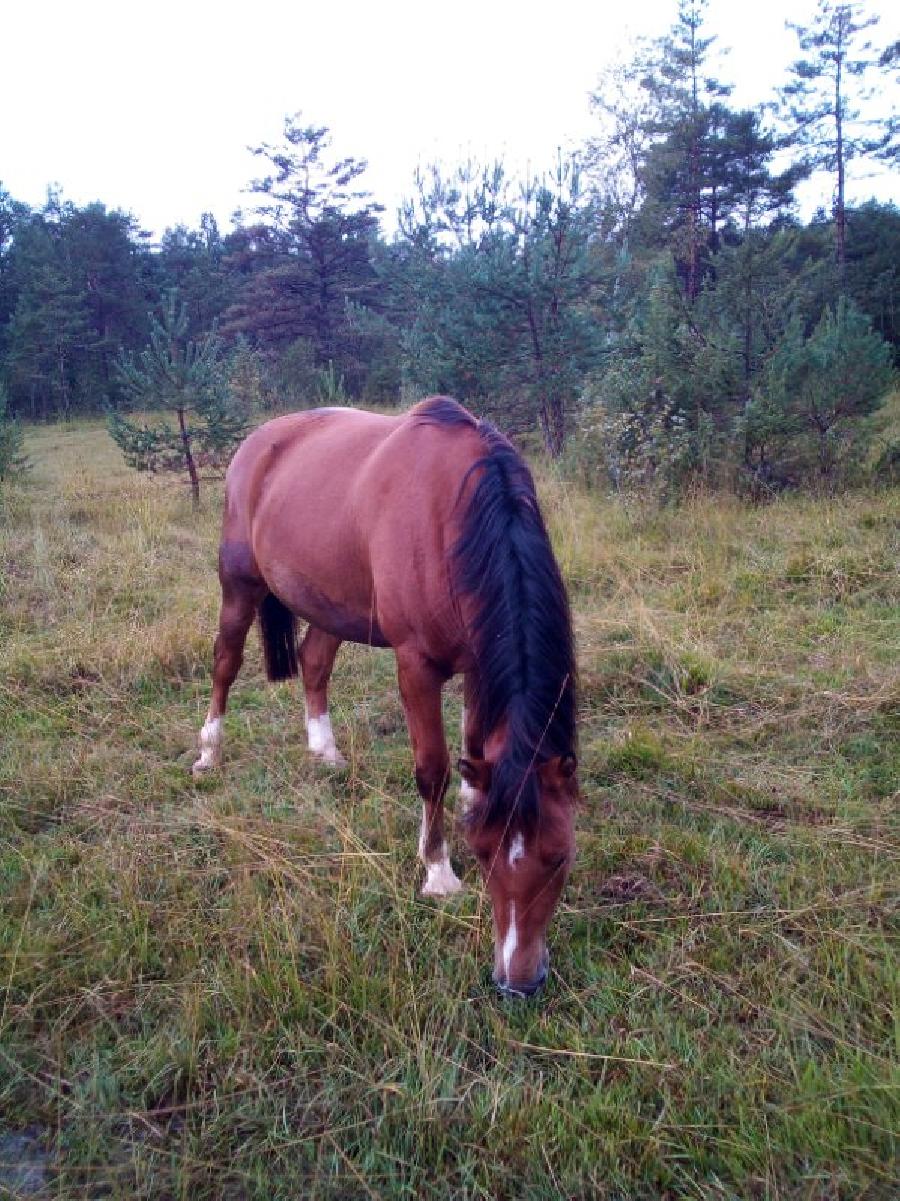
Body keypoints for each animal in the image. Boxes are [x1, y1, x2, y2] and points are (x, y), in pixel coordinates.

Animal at [193, 393, 579, 994]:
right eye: (483, 856)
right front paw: (437, 871)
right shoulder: (415, 665)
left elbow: (473, 751)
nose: (517, 981)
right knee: (225, 664)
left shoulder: (477, 663)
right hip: (239, 583)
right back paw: (209, 750)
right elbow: (432, 767)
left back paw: (324, 750)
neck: (454, 515)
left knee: (314, 662)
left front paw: (468, 803)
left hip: (329, 600)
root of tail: (258, 441)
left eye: (560, 857)